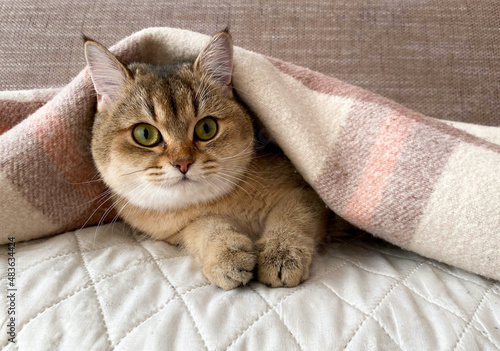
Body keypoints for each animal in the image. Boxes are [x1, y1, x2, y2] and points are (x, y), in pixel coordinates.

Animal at [84, 30, 330, 290]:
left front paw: (282, 252)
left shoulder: (305, 192)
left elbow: (292, 214)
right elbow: (203, 226)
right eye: (144, 134)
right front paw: (225, 253)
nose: (182, 163)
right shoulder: (178, 230)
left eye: (206, 128)